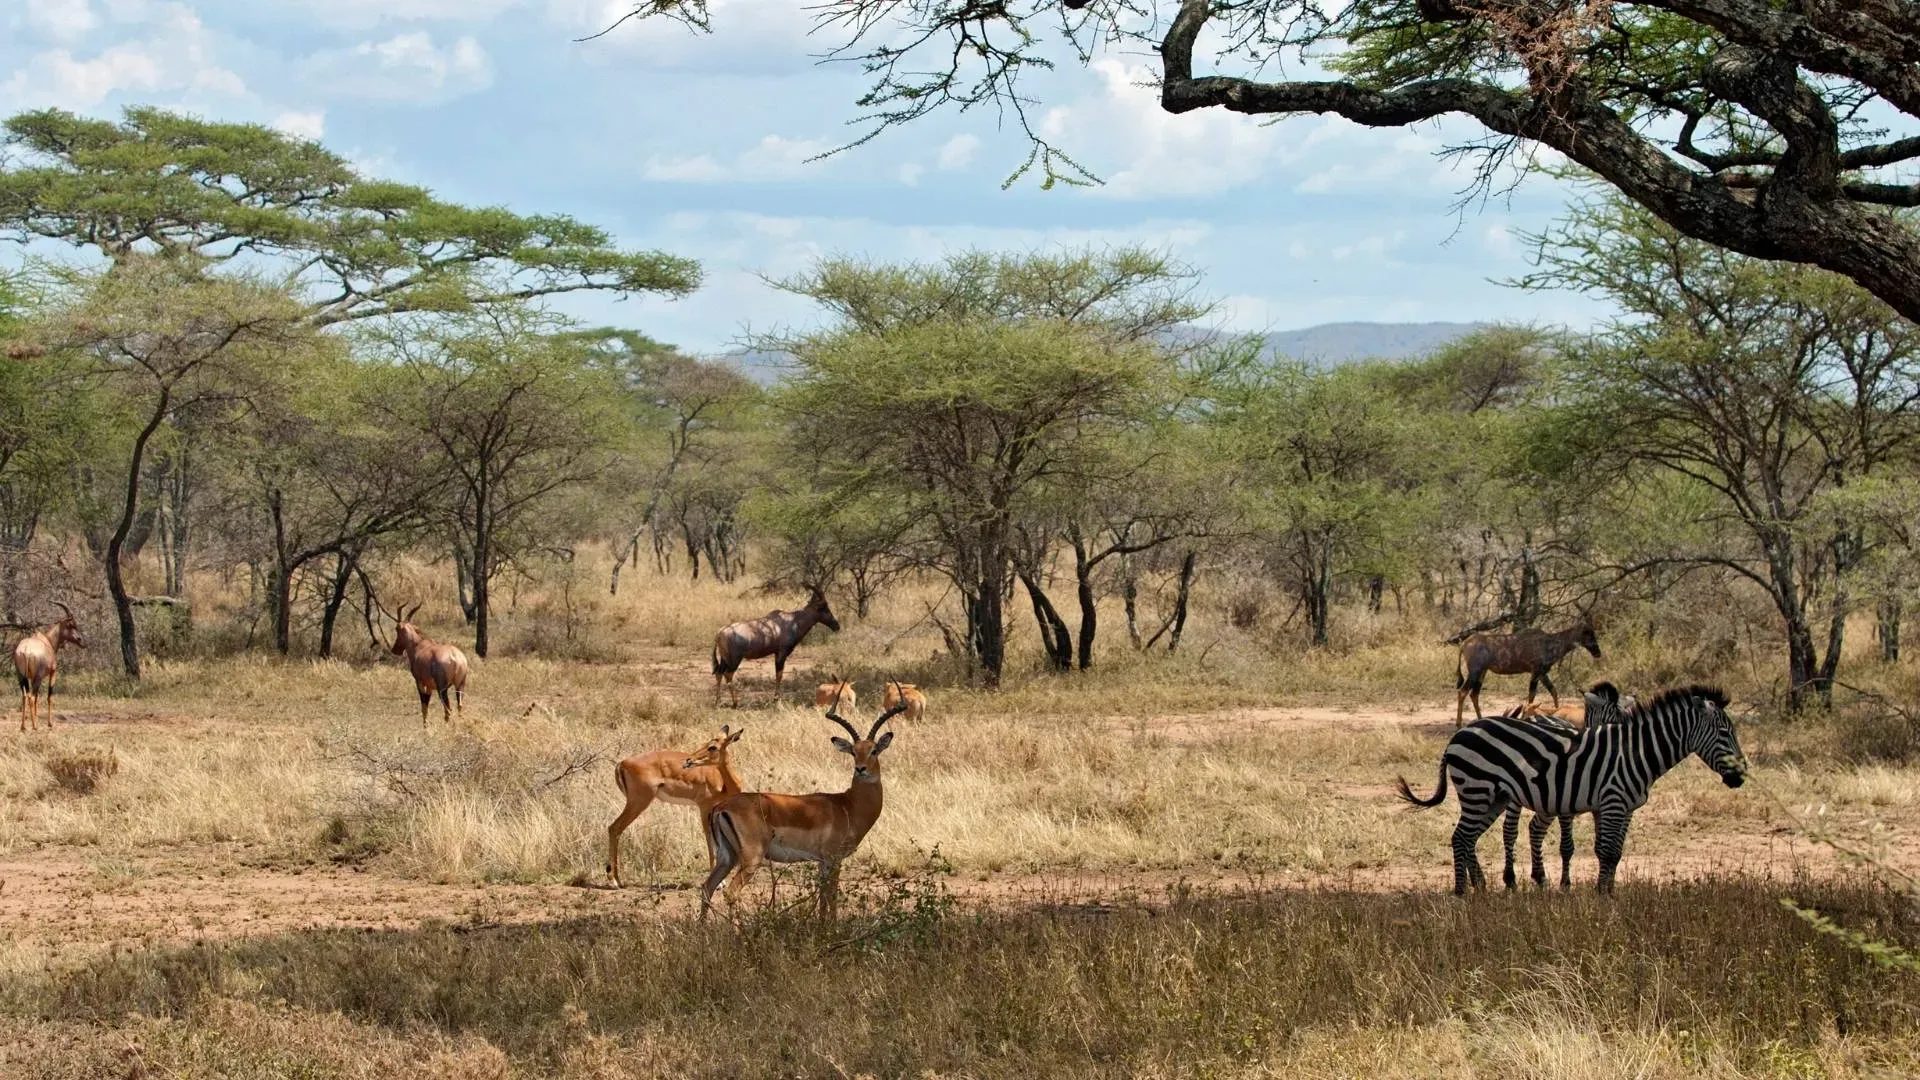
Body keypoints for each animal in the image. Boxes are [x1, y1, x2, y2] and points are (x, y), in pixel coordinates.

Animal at [1398, 685, 1746, 895]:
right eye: (1725, 733)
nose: (1742, 777)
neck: (1635, 752)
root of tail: (1458, 735)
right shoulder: (1612, 801)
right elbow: (1607, 851)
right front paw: (1602, 898)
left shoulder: (1625, 808)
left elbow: (1616, 853)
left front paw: (1609, 894)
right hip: (1477, 791)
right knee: (1460, 838)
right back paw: (1462, 893)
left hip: (1492, 798)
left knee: (1468, 839)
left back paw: (1481, 890)